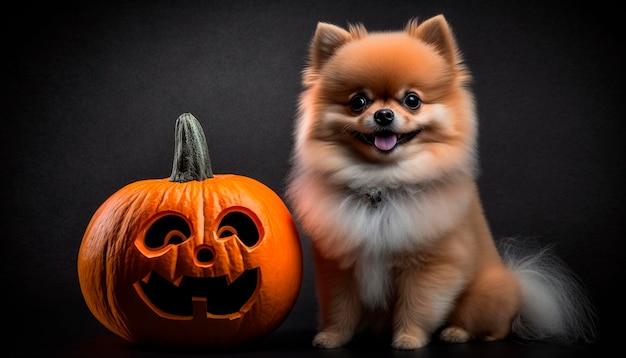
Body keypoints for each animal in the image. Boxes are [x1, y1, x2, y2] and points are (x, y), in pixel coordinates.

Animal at [284, 14, 596, 350]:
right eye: (358, 102)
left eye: (412, 100)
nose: (383, 114)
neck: (383, 183)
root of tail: (516, 281)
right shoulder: (340, 267)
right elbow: (340, 307)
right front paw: (332, 337)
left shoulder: (429, 265)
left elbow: (417, 304)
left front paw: (408, 338)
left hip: (483, 294)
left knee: (494, 328)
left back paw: (457, 332)